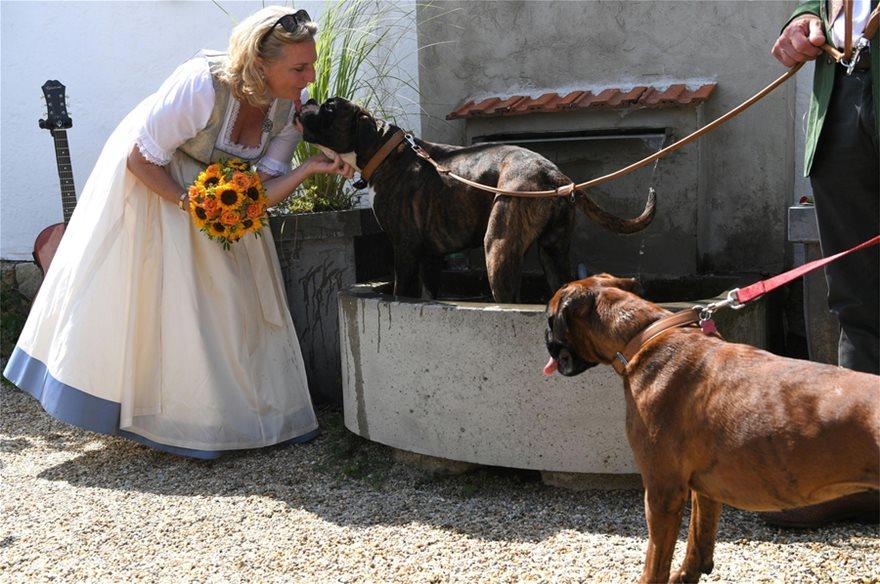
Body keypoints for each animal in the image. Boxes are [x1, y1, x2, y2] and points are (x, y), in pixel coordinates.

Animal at [300, 96, 652, 304]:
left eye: (329, 108)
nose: (310, 99)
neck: (383, 148)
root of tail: (556, 177)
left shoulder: (405, 248)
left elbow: (402, 290)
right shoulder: (430, 256)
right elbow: (430, 292)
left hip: (498, 247)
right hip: (553, 252)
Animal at [544, 274, 880, 584]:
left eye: (549, 319)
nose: (545, 336)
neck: (645, 334)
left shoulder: (662, 491)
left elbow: (655, 563)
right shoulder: (704, 487)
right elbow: (699, 538)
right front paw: (688, 574)